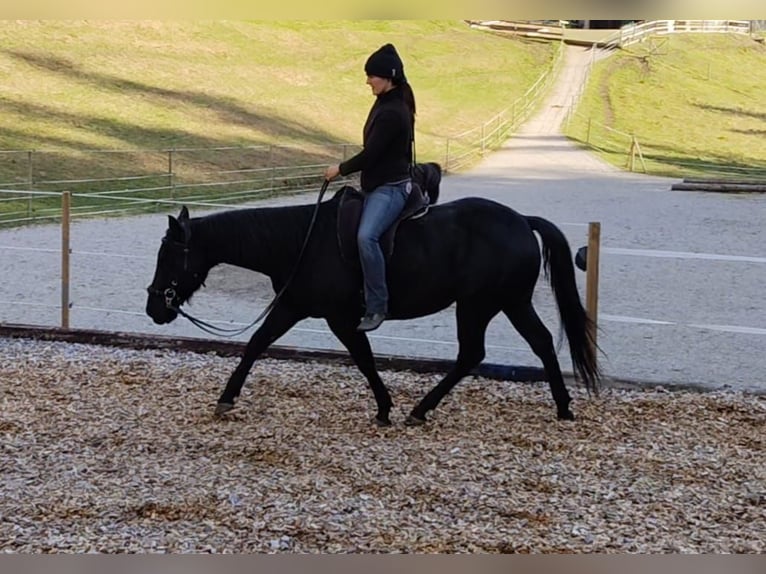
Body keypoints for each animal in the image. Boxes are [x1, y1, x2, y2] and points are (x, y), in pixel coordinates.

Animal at [146, 163, 600, 426]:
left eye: (168, 256)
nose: (153, 306)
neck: (302, 241)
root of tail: (522, 220)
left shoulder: (341, 318)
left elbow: (363, 359)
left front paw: (384, 408)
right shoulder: (292, 306)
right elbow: (256, 344)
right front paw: (226, 399)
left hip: (479, 305)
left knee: (474, 354)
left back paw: (421, 409)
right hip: (509, 302)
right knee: (540, 343)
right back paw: (562, 407)